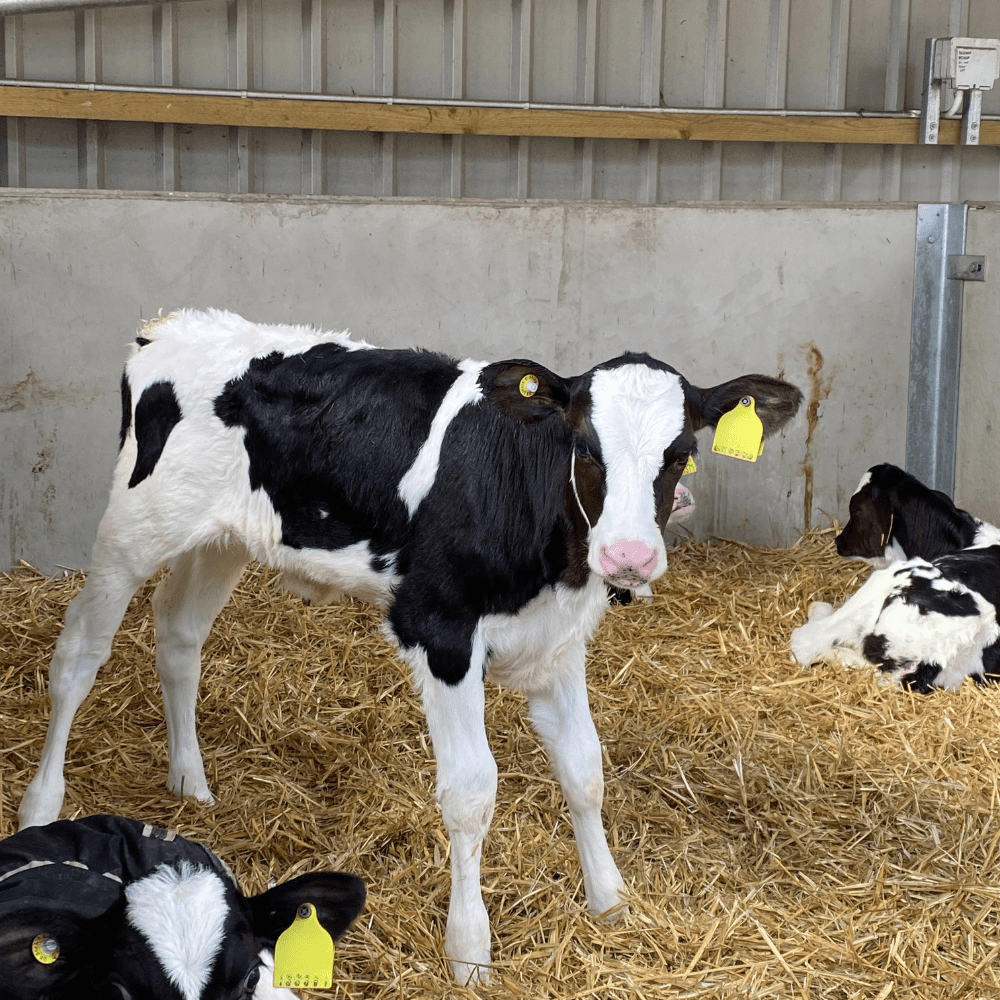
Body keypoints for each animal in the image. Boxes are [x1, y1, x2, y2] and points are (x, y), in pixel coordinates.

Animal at [17, 308, 802, 982]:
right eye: (584, 445)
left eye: (681, 453)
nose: (631, 555)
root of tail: (172, 325)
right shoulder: (440, 628)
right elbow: (472, 792)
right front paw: (470, 950)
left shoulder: (557, 642)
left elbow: (584, 768)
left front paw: (609, 902)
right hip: (130, 530)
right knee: (78, 656)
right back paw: (40, 808)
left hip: (225, 541)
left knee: (179, 635)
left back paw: (191, 784)